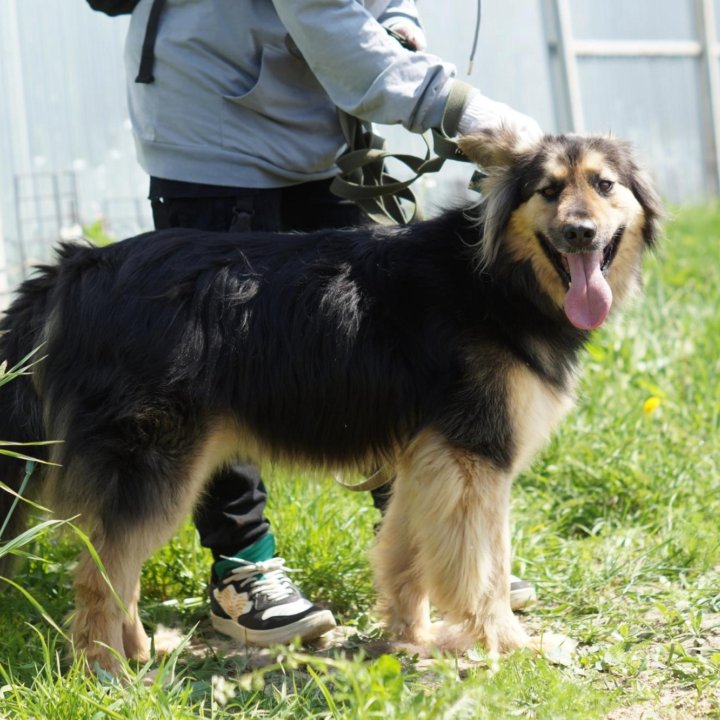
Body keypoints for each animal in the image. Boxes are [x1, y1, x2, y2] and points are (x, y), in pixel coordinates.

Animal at [0, 128, 660, 668]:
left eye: (604, 185)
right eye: (548, 190)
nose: (580, 232)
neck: (494, 277)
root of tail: (78, 265)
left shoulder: (427, 460)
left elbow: (407, 552)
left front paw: (411, 636)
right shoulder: (474, 457)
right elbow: (485, 568)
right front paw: (510, 644)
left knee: (116, 569)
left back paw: (139, 652)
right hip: (154, 461)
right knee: (98, 575)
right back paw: (105, 670)